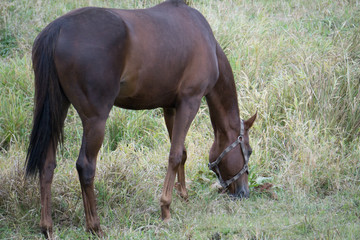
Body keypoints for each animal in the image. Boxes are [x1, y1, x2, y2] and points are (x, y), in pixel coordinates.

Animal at [25, 0, 256, 236]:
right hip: (95, 120)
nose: (244, 192)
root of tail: (58, 28)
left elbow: (181, 152)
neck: (206, 42)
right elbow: (174, 156)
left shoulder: (170, 108)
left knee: (47, 164)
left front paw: (183, 195)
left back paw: (47, 227)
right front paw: (165, 208)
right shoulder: (189, 102)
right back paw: (95, 226)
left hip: (57, 109)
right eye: (248, 151)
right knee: (85, 167)